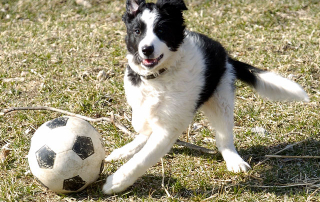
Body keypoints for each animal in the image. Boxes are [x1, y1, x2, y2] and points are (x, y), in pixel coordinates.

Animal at [102, 0, 308, 194]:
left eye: (161, 30)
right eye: (137, 31)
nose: (146, 49)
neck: (160, 75)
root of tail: (226, 57)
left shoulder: (169, 127)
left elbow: (144, 158)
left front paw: (116, 182)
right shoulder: (142, 104)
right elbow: (143, 129)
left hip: (221, 99)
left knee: (224, 139)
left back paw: (234, 160)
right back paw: (123, 151)